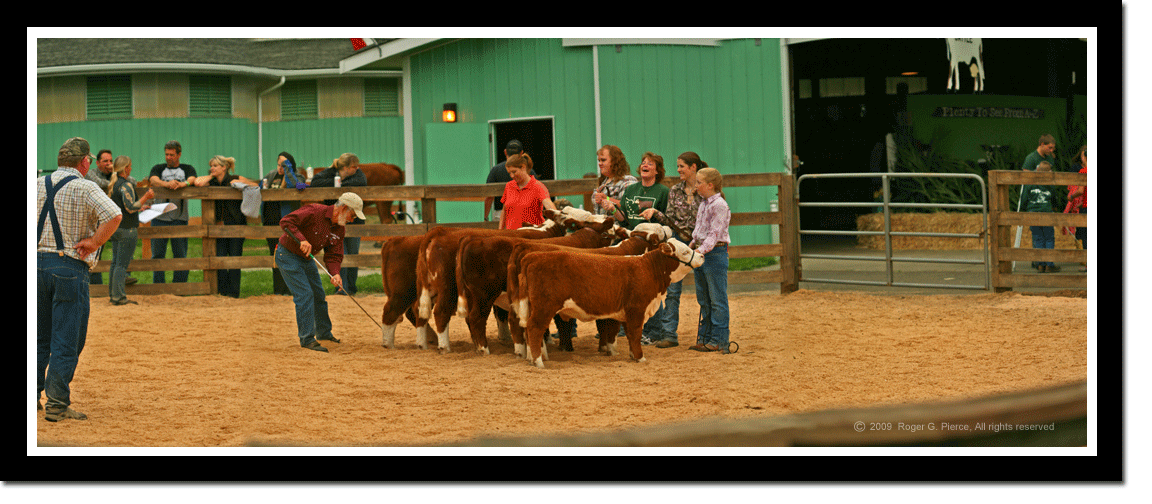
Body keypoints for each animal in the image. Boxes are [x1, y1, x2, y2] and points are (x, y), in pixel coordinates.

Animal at [520, 238, 700, 368]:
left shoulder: (627, 313)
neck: (648, 269)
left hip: (533, 307)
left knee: (527, 330)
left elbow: (629, 335)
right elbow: (635, 333)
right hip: (544, 307)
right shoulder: (636, 309)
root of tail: (533, 256)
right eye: (685, 251)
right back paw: (538, 361)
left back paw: (531, 359)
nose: (702, 255)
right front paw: (641, 358)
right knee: (534, 329)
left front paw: (633, 356)